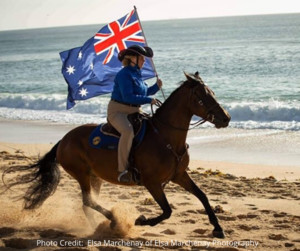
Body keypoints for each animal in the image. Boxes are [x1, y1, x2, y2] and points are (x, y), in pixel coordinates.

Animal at [2, 71, 230, 238]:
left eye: (213, 92)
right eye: (202, 97)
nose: (226, 118)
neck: (165, 137)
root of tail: (64, 140)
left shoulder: (179, 175)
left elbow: (202, 196)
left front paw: (218, 228)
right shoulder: (152, 182)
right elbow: (167, 210)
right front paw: (142, 220)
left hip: (95, 177)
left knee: (87, 204)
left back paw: (100, 226)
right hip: (81, 173)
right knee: (88, 201)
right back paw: (112, 221)